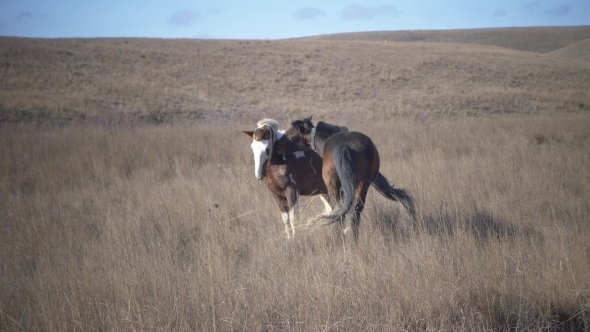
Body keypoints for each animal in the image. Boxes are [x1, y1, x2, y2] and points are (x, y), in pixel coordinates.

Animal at [286, 117, 416, 241]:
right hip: (362, 185)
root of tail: (344, 146)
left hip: (333, 186)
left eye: (292, 136)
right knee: (355, 210)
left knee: (339, 210)